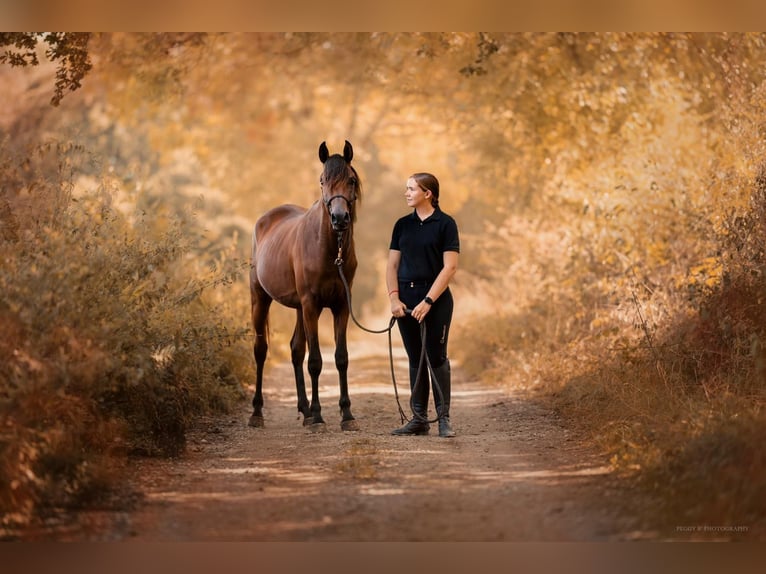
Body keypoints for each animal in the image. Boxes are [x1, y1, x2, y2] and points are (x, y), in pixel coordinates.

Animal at [248, 140, 361, 431]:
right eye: (322, 181)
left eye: (351, 180)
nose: (340, 218)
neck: (329, 250)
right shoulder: (312, 306)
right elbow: (316, 361)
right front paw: (320, 416)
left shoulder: (340, 306)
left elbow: (341, 358)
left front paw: (347, 415)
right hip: (261, 299)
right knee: (261, 350)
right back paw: (257, 413)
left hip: (299, 308)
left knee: (296, 349)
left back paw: (305, 410)